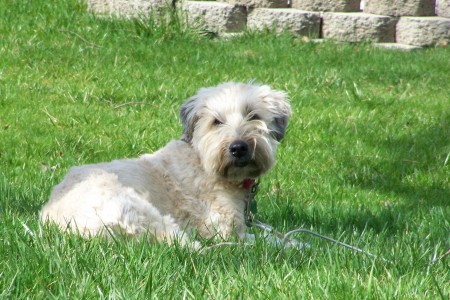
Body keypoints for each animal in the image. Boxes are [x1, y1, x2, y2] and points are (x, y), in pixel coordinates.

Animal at [40, 82, 290, 246]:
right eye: (216, 121)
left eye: (253, 115)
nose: (239, 148)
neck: (201, 159)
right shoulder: (225, 228)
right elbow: (273, 241)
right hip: (146, 214)